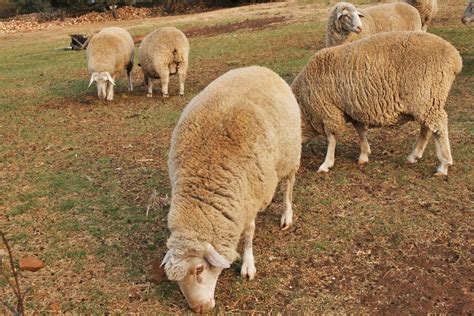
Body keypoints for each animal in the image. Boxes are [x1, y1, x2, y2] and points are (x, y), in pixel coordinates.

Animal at [161, 65, 302, 312]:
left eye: (199, 269)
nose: (199, 309)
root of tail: (259, 68)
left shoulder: (250, 196)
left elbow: (249, 232)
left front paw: (248, 265)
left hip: (290, 155)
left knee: (288, 186)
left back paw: (287, 215)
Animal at [292, 31, 462, 175]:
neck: (303, 109)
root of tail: (455, 57)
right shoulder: (353, 108)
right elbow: (360, 130)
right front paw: (364, 154)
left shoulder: (329, 111)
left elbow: (332, 138)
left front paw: (326, 164)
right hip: (428, 99)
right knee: (427, 128)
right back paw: (414, 155)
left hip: (426, 95)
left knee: (438, 126)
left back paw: (444, 165)